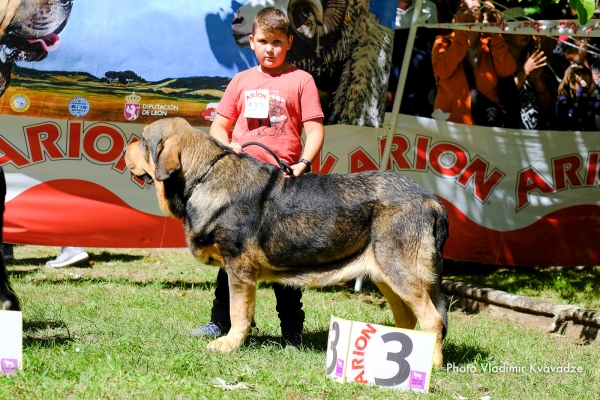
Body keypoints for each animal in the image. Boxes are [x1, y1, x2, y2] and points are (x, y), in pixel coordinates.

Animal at [123, 118, 450, 366]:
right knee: (406, 318)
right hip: (386, 275)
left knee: (432, 319)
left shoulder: (238, 267)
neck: (204, 175)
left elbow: (238, 311)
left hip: (401, 271)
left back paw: (430, 364)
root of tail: (431, 200)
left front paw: (229, 344)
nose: (126, 147)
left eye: (143, 140)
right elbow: (235, 307)